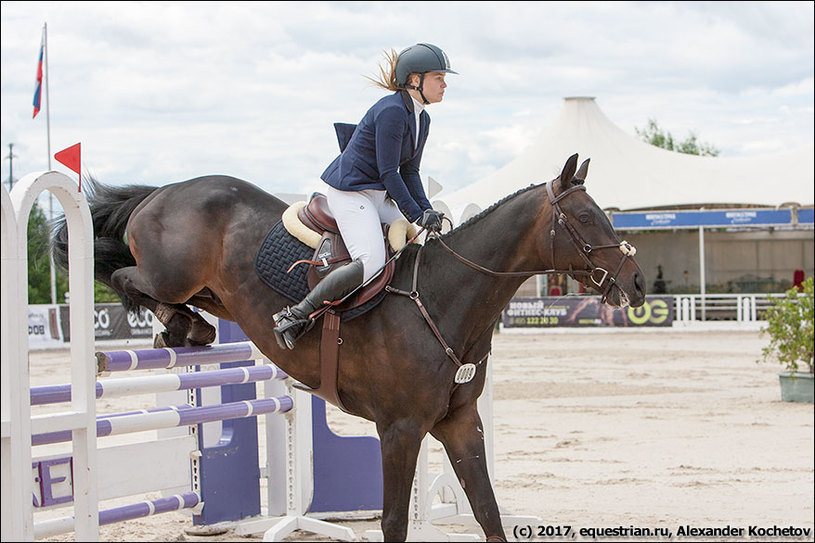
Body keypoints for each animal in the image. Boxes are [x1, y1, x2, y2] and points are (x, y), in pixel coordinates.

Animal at [52, 152, 652, 540]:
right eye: (585, 216)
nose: (639, 282)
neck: (444, 296)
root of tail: (164, 190)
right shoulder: (401, 429)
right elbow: (394, 521)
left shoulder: (460, 422)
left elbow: (486, 509)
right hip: (171, 273)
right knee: (123, 274)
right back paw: (179, 326)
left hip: (215, 294)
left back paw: (188, 329)